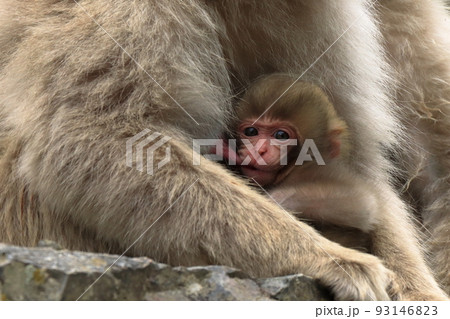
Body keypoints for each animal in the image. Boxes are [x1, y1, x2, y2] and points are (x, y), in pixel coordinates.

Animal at [229, 75, 384, 241]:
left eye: (281, 135)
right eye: (251, 131)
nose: (259, 150)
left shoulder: (317, 170)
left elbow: (364, 203)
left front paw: (276, 199)